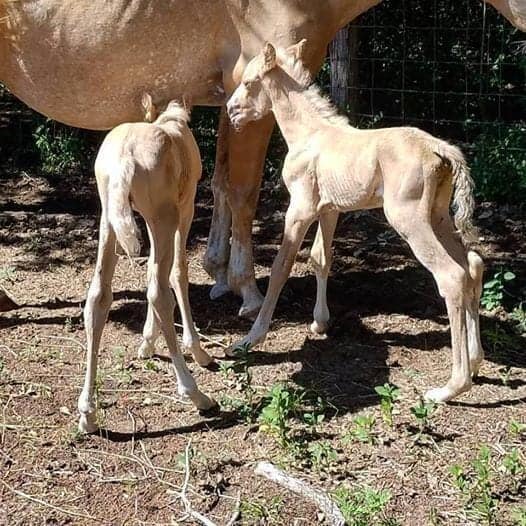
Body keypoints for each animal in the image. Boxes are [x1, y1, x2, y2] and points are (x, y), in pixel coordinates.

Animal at [0, 1, 524, 318]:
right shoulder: (247, 97)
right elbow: (242, 192)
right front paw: (247, 291)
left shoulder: (228, 101)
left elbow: (219, 182)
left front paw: (217, 275)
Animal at [78, 97, 217, 436]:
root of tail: (123, 160)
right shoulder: (186, 206)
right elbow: (177, 272)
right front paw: (196, 349)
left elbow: (154, 270)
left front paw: (146, 342)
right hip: (164, 216)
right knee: (159, 292)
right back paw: (196, 394)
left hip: (110, 219)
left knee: (98, 297)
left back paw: (88, 414)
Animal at [227, 41, 486, 404]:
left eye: (250, 82)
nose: (231, 110)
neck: (308, 135)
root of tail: (441, 149)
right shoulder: (329, 209)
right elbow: (321, 258)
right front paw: (320, 324)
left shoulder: (300, 208)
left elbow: (282, 266)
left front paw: (251, 338)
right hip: (438, 216)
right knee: (473, 265)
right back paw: (476, 361)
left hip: (409, 219)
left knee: (452, 275)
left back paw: (451, 386)